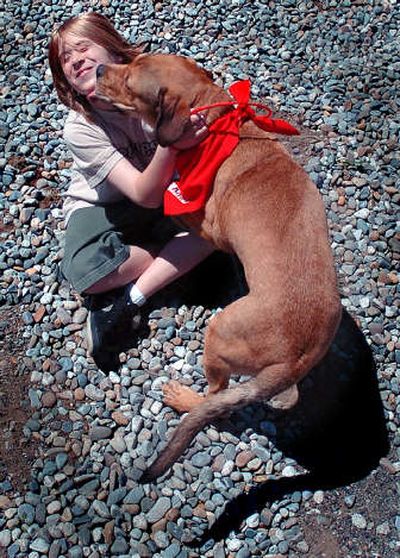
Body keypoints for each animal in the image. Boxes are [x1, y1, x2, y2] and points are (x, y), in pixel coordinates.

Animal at [95, 57, 342, 484]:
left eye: (128, 81)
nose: (96, 72)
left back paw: (183, 399)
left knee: (213, 397)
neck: (215, 123)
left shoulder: (206, 226)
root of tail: (296, 358)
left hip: (219, 332)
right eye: (130, 59)